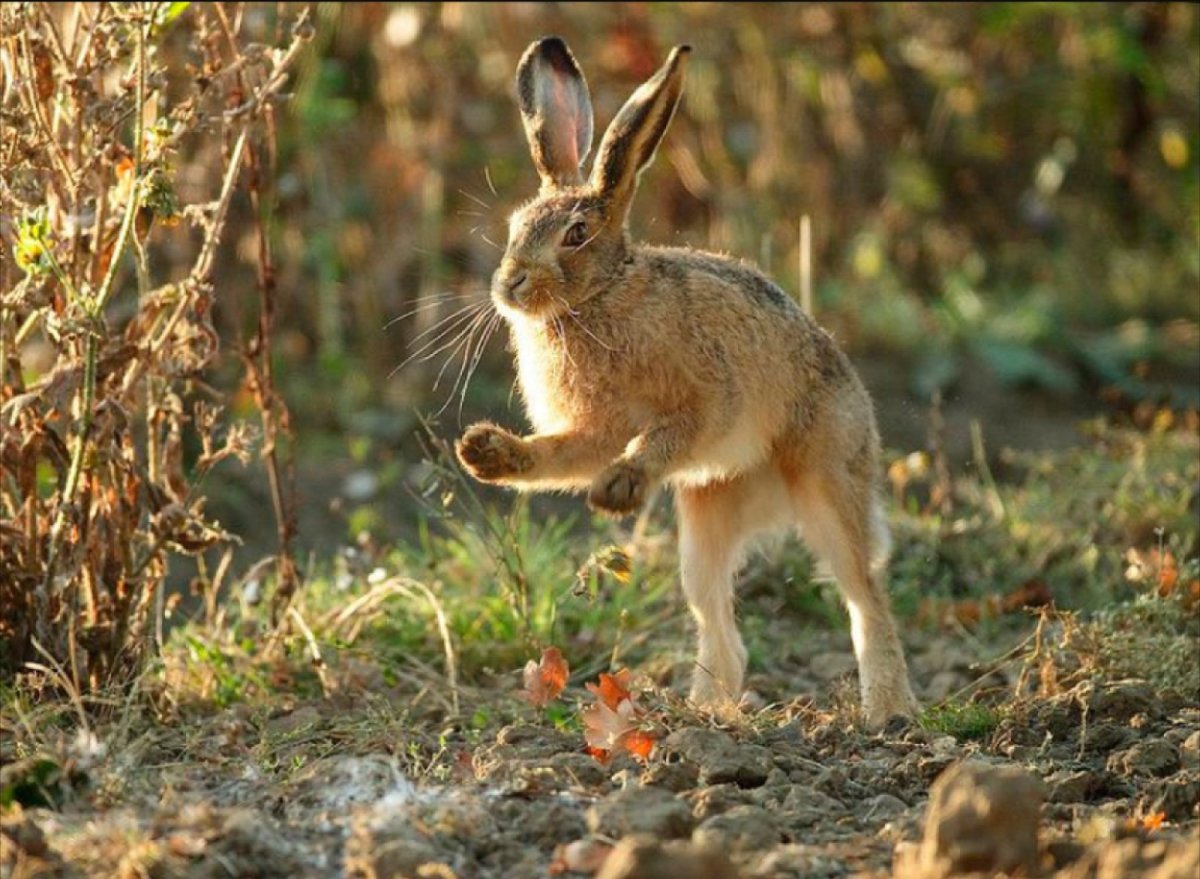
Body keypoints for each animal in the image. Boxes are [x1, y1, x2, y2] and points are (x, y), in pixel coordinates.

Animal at [455, 36, 919, 727]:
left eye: (576, 234)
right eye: (514, 228)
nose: (509, 285)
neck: (601, 295)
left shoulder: (707, 401)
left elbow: (670, 435)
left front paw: (619, 487)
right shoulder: (594, 430)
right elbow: (562, 456)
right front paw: (485, 453)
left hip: (829, 483)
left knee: (865, 596)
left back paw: (887, 712)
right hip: (704, 519)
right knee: (716, 614)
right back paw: (705, 711)